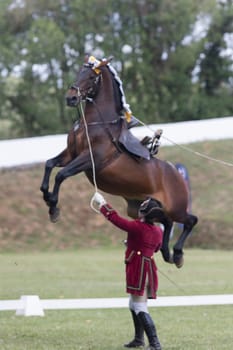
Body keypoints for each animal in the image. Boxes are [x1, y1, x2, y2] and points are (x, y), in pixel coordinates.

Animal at [39, 54, 197, 268]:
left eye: (91, 77)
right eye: (79, 72)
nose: (70, 98)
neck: (95, 123)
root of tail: (177, 173)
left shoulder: (89, 159)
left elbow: (61, 175)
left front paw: (53, 206)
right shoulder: (70, 154)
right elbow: (49, 164)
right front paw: (46, 196)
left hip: (175, 208)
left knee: (190, 220)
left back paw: (178, 254)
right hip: (139, 207)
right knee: (167, 222)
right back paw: (166, 252)